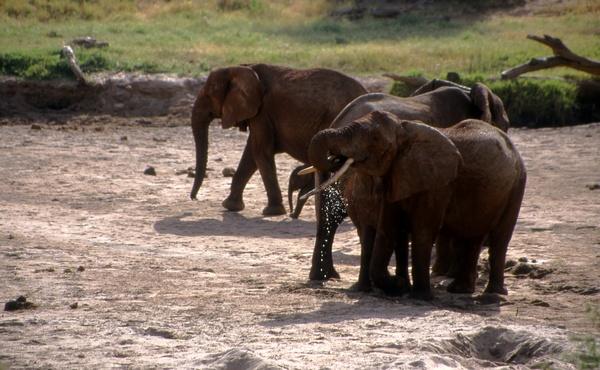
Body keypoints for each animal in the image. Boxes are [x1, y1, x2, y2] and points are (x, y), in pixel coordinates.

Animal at [190, 62, 368, 217]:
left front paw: (272, 212)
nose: (194, 198)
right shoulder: (260, 114)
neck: (242, 68)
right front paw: (230, 206)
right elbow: (250, 155)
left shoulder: (263, 112)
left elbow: (260, 152)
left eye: (208, 95)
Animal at [310, 112, 524, 300]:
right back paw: (460, 290)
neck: (404, 128)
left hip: (517, 185)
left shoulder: (437, 182)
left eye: (376, 138)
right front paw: (398, 286)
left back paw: (493, 293)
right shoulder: (396, 175)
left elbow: (423, 229)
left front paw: (418, 295)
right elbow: (388, 228)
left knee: (500, 237)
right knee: (475, 236)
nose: (336, 159)